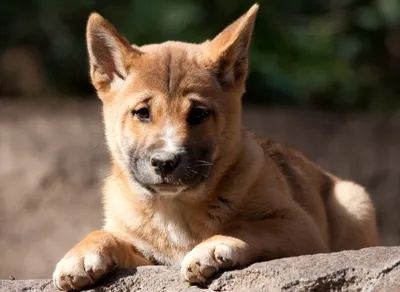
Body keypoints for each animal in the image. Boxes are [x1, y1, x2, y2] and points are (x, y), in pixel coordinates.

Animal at [52, 4, 378, 290]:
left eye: (198, 114)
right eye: (142, 113)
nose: (165, 162)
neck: (175, 210)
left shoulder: (300, 227)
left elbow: (246, 227)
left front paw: (212, 248)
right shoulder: (147, 256)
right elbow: (105, 234)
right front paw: (80, 256)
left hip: (354, 200)